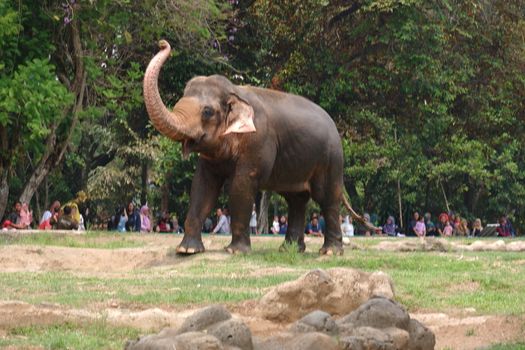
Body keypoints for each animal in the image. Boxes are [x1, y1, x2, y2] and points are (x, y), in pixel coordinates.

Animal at [143, 40, 370, 254]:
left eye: (207, 111)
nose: (162, 43)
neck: (235, 91)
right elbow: (202, 186)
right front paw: (187, 249)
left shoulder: (258, 141)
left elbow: (241, 185)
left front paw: (235, 251)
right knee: (296, 199)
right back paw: (289, 249)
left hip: (331, 159)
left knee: (327, 197)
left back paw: (330, 252)